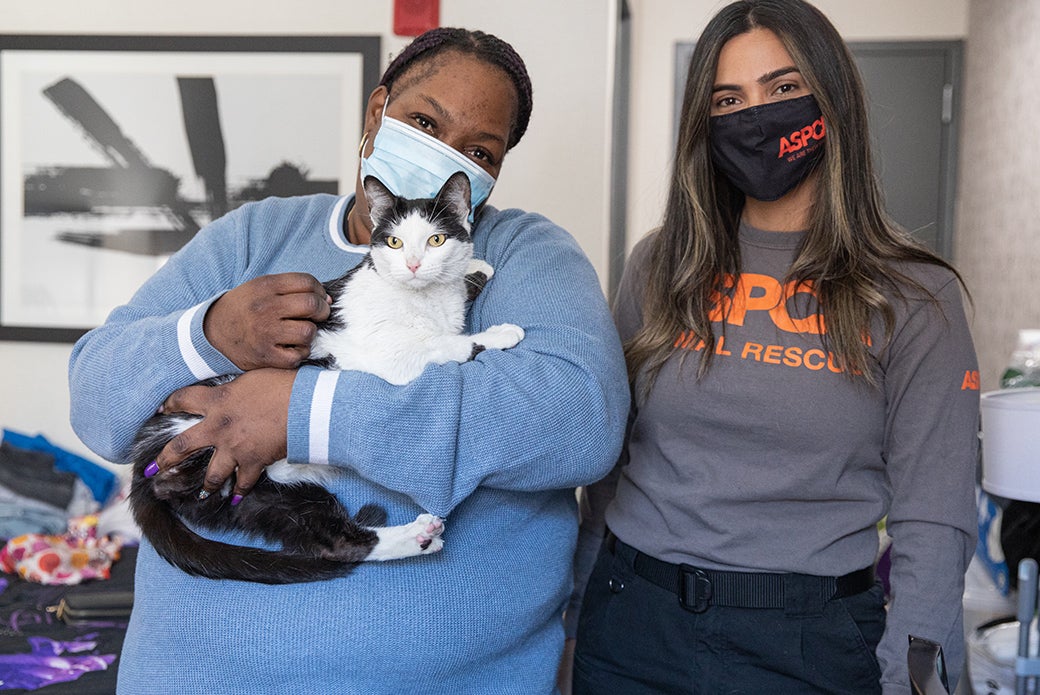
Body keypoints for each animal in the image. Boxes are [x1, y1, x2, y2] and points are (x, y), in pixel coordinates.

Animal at [128, 171, 524, 584]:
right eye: (395, 242)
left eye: (436, 240)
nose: (414, 265)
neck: (424, 299)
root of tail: (142, 466)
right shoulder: (390, 354)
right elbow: (446, 344)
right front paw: (498, 334)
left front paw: (475, 268)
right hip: (216, 454)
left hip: (261, 494)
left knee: (331, 541)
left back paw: (415, 538)